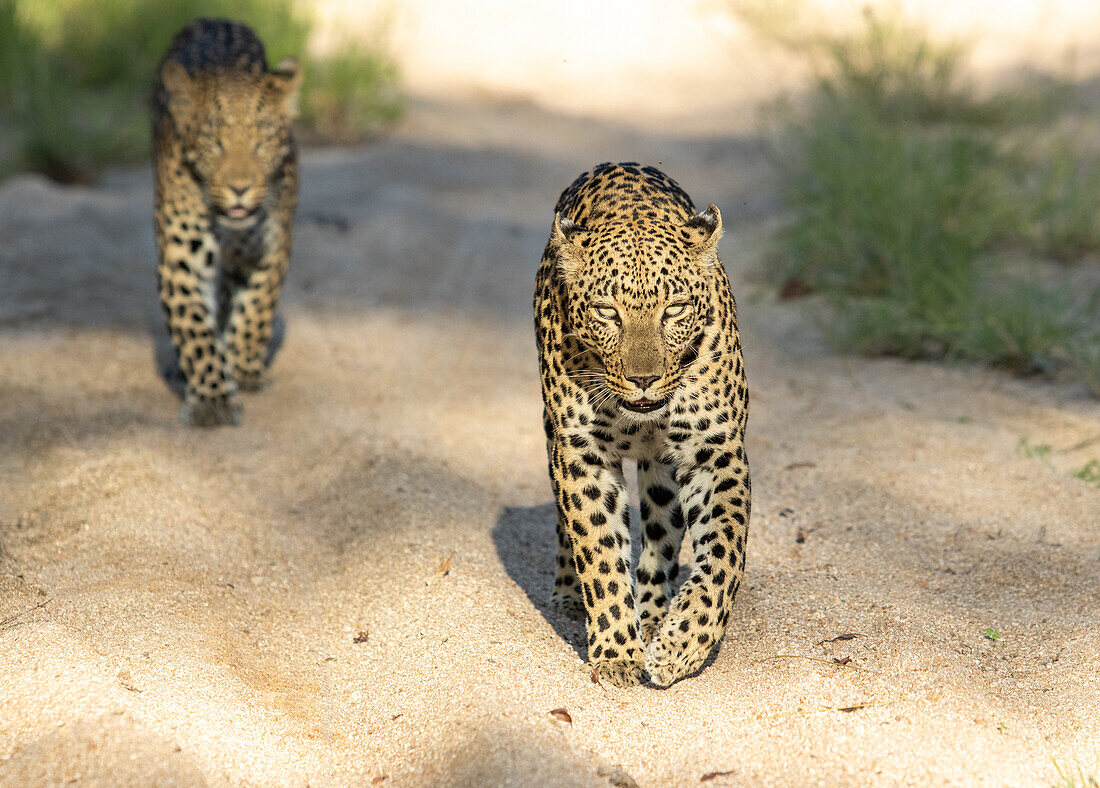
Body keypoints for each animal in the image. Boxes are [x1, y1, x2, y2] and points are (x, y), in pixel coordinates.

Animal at [152, 16, 301, 424]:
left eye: (263, 141)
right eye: (213, 141)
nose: (239, 188)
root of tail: (217, 19)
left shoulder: (268, 245)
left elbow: (256, 308)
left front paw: (244, 367)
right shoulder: (182, 255)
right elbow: (194, 328)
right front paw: (212, 399)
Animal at [530, 162, 748, 686]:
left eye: (675, 309)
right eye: (607, 311)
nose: (644, 379)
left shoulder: (715, 453)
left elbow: (723, 555)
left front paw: (681, 645)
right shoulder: (581, 455)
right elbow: (599, 552)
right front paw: (615, 652)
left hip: (661, 472)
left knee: (661, 534)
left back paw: (653, 618)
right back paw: (570, 594)